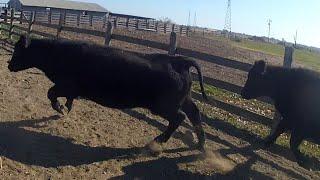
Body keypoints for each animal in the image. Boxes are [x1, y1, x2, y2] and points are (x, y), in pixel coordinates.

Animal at [8, 35, 208, 150]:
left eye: (18, 50)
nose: (9, 65)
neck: (56, 53)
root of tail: (179, 61)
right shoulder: (70, 89)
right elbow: (67, 98)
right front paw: (66, 108)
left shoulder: (65, 85)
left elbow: (50, 93)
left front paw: (61, 108)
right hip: (184, 99)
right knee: (194, 114)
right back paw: (200, 144)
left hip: (162, 105)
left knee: (180, 117)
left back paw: (158, 141)